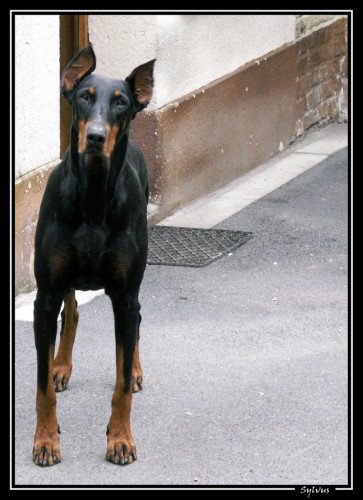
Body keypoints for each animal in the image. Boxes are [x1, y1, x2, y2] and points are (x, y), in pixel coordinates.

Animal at [32, 45, 155, 466]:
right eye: (84, 97)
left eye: (120, 103)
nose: (97, 137)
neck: (94, 193)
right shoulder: (45, 296)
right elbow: (41, 388)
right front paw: (45, 441)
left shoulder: (124, 293)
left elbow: (120, 384)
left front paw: (120, 439)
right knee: (72, 312)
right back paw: (61, 365)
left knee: (136, 322)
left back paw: (135, 369)